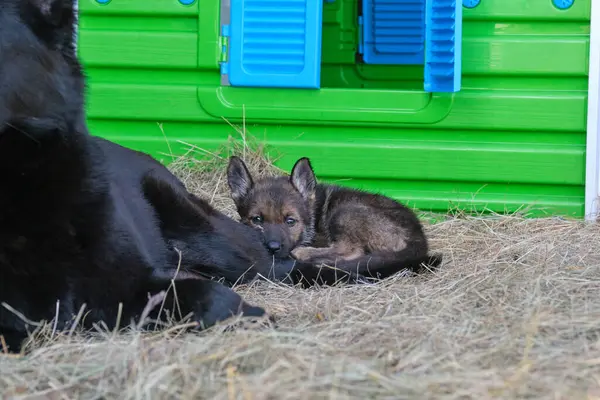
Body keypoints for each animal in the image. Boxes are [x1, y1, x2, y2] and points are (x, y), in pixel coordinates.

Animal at [225, 156, 440, 278]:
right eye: (257, 220)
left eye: (290, 221)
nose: (273, 248)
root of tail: (418, 237)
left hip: (345, 212)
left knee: (352, 251)